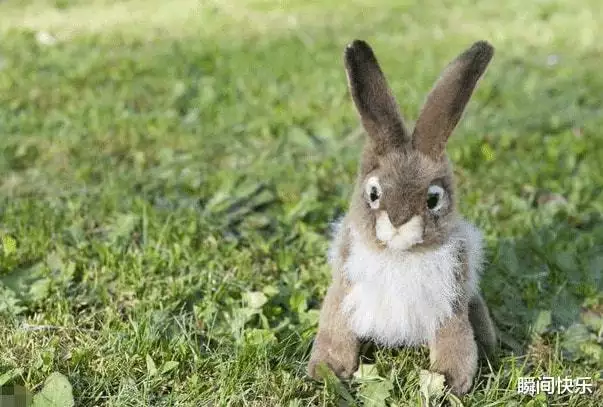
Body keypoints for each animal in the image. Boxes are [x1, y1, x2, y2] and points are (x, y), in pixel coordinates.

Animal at [310, 39, 498, 396]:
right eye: (373, 193)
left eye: (433, 199)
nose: (398, 223)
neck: (399, 256)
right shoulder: (345, 292)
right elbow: (336, 329)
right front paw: (327, 371)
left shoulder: (451, 305)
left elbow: (454, 340)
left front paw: (450, 382)